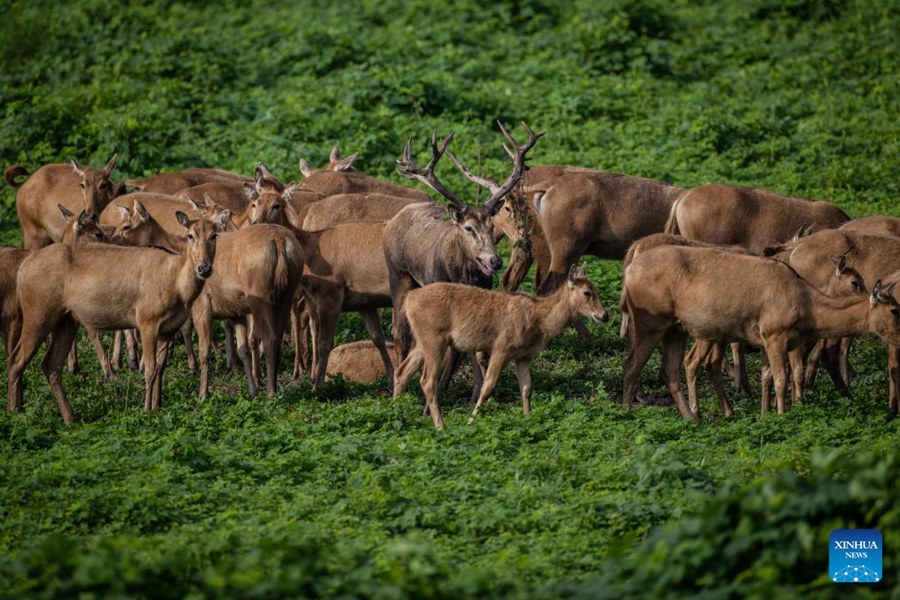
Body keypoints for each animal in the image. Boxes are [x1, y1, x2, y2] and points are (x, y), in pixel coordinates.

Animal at [7, 213, 222, 424]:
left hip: (66, 320)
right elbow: (150, 369)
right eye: (190, 235)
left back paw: (70, 418)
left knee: (50, 364)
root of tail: (22, 269)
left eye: (214, 235)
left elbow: (161, 368)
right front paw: (147, 410)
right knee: (16, 359)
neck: (177, 285)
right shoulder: (147, 319)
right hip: (38, 311)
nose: (204, 268)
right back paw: (14, 411)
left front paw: (158, 404)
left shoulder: (169, 328)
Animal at [392, 264, 608, 428]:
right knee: (427, 381)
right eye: (587, 292)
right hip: (433, 339)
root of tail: (409, 300)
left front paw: (528, 418)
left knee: (402, 371)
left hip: (422, 341)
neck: (541, 322)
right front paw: (471, 421)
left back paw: (397, 411)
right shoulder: (501, 346)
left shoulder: (524, 356)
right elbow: (488, 386)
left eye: (596, 289)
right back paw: (441, 426)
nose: (604, 315)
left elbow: (526, 388)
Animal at [624, 246, 900, 420]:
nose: (899, 337)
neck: (807, 306)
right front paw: (782, 413)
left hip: (677, 328)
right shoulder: (775, 335)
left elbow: (766, 376)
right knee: (632, 365)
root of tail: (628, 271)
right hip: (650, 322)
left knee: (671, 370)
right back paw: (626, 412)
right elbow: (782, 377)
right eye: (895, 309)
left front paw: (764, 413)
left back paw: (694, 417)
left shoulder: (766, 340)